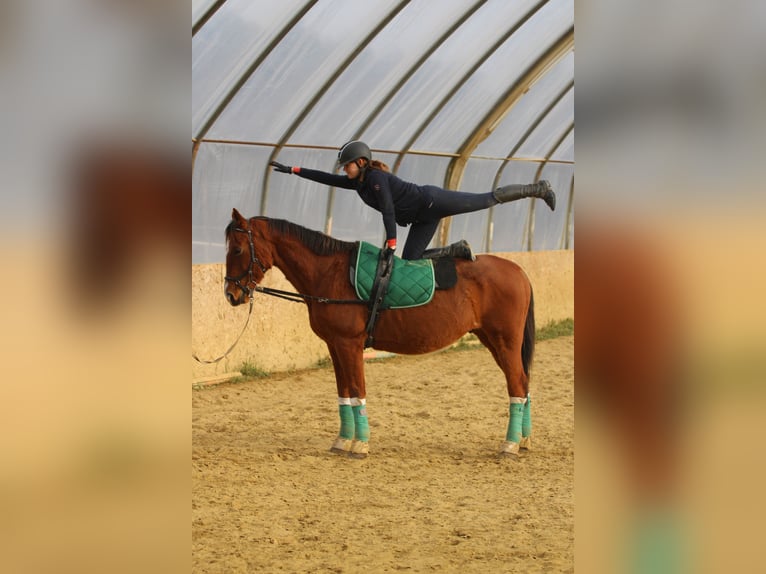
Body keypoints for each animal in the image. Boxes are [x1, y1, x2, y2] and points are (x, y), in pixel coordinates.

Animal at [222, 209, 536, 462]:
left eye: (237, 250)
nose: (231, 294)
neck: (332, 273)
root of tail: (519, 271)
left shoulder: (350, 345)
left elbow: (357, 391)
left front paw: (360, 445)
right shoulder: (335, 347)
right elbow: (344, 394)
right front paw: (342, 441)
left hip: (504, 342)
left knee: (517, 384)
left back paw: (509, 445)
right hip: (491, 340)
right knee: (523, 383)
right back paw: (524, 440)